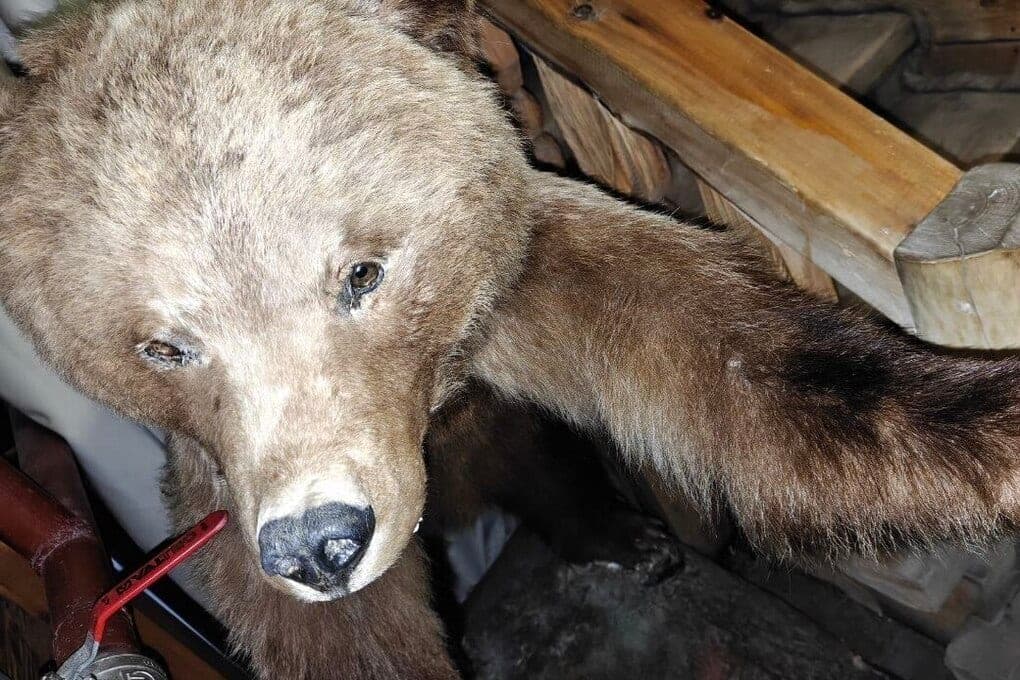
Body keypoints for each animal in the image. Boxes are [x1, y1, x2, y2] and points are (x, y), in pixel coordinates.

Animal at [2, 0, 1020, 677]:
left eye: (362, 273)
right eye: (163, 347)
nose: (319, 546)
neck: (430, 389)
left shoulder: (519, 267)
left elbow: (770, 376)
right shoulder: (226, 487)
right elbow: (342, 639)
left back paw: (631, 538)